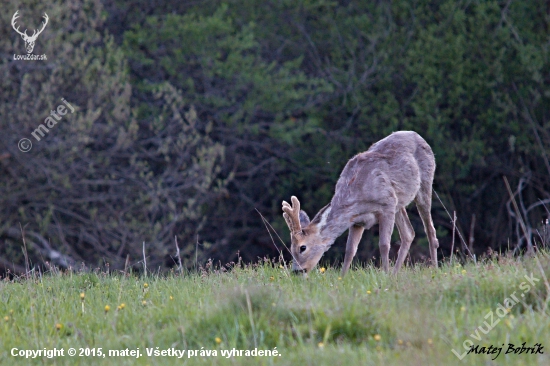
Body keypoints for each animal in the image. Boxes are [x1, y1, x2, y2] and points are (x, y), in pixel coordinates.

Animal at [284, 131, 440, 274]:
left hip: (424, 185)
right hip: (399, 203)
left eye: (302, 247)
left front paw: (385, 275)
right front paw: (343, 277)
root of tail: (417, 135)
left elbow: (384, 245)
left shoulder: (387, 205)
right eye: (291, 247)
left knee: (430, 229)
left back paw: (434, 269)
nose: (297, 271)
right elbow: (350, 250)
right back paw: (396, 274)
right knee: (409, 233)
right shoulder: (357, 221)